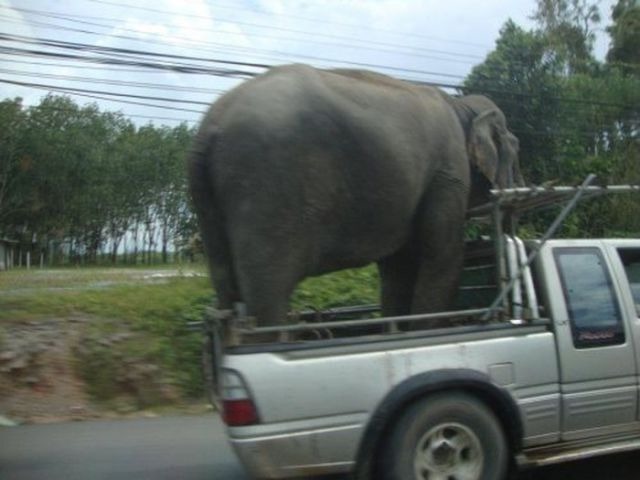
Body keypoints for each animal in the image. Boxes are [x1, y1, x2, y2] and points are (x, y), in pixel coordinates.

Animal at [188, 62, 524, 326]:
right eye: (516, 150)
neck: (461, 105)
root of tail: (210, 127)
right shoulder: (448, 172)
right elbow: (443, 256)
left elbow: (397, 270)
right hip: (266, 186)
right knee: (268, 291)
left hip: (210, 200)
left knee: (227, 283)